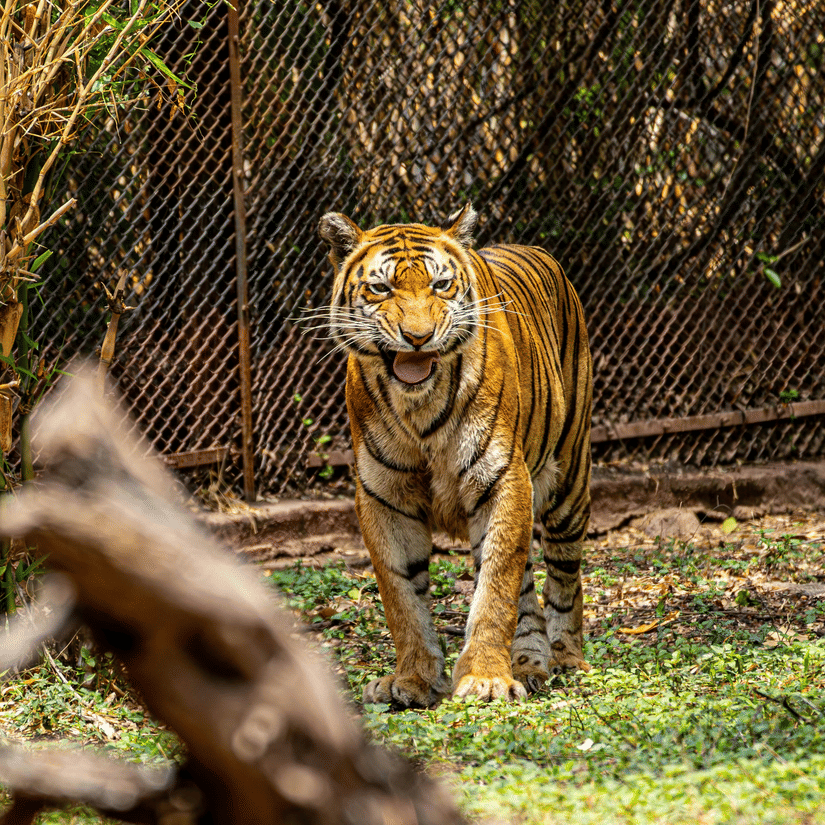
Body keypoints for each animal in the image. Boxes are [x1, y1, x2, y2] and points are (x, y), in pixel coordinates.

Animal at [318, 203, 592, 708]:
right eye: (381, 288)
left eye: (441, 285)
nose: (418, 337)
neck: (418, 405)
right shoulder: (384, 496)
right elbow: (402, 596)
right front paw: (413, 678)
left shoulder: (502, 478)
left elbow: (494, 587)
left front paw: (485, 678)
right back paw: (529, 661)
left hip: (568, 482)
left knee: (564, 575)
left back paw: (565, 657)